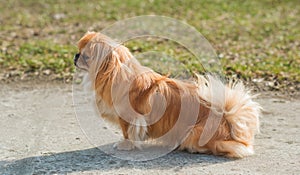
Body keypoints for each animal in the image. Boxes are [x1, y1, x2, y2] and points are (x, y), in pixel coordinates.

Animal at [74, 31, 262, 159]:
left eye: (86, 56)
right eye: (79, 51)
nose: (76, 56)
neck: (115, 73)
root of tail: (228, 121)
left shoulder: (129, 117)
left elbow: (128, 132)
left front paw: (125, 145)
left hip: (194, 132)